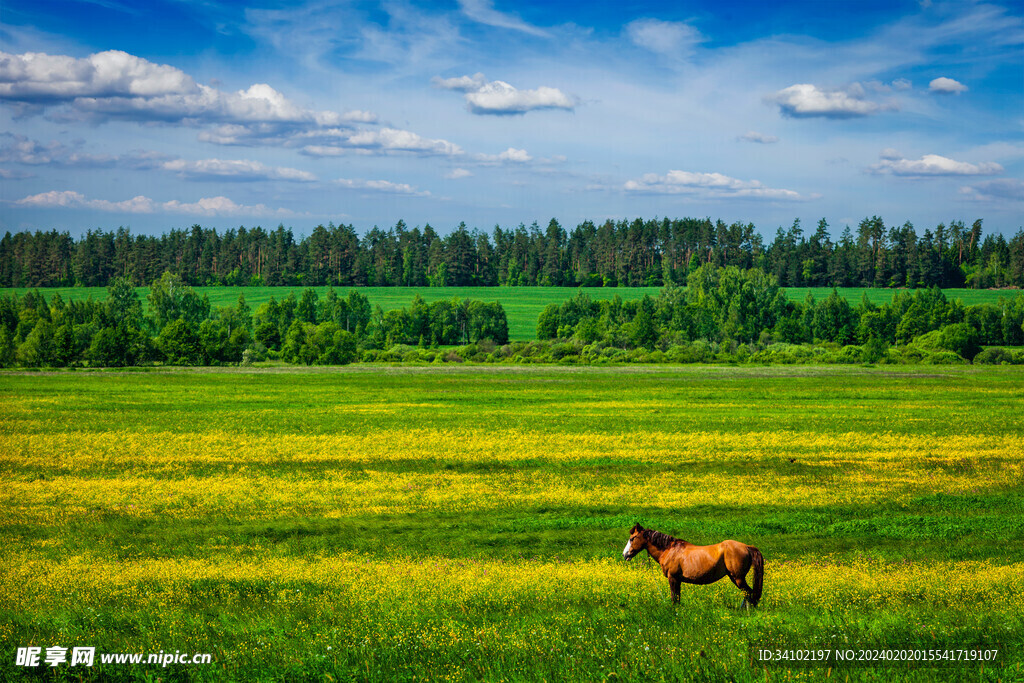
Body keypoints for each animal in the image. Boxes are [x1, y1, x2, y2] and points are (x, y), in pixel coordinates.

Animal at [618, 524, 765, 610]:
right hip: (735, 578)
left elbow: (674, 598)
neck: (669, 549)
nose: (625, 554)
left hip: (738, 578)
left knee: (749, 593)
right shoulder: (677, 580)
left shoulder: (673, 578)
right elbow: (677, 598)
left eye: (632, 539)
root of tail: (747, 547)